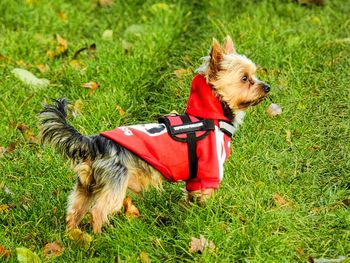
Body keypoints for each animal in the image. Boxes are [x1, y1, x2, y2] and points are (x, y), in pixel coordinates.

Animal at [39, 36, 270, 234]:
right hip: (114, 185)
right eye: (245, 78)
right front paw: (208, 217)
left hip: (86, 185)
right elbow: (205, 196)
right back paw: (99, 238)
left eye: (254, 76)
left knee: (74, 209)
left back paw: (73, 236)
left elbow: (190, 196)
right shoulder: (208, 170)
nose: (267, 87)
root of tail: (94, 142)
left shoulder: (194, 177)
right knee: (99, 211)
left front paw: (190, 214)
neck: (211, 115)